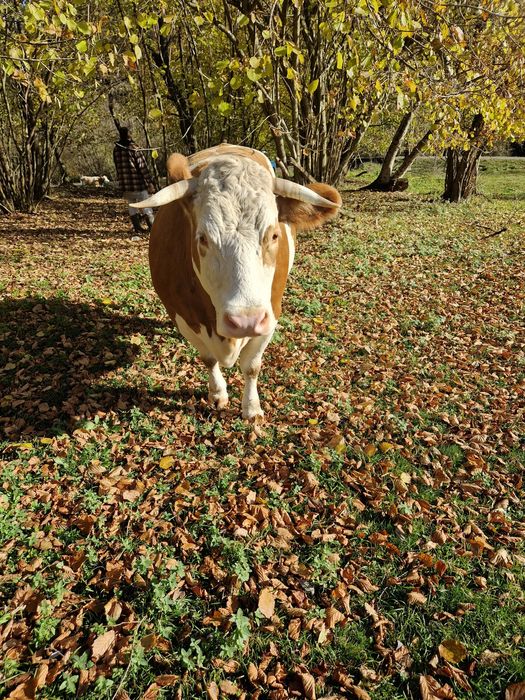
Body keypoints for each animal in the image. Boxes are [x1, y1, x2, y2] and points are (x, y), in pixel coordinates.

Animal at [132, 144, 341, 418]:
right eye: (203, 238)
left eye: (274, 235)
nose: (246, 321)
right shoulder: (183, 318)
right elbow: (208, 359)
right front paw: (217, 394)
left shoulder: (270, 315)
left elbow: (251, 366)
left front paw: (251, 408)